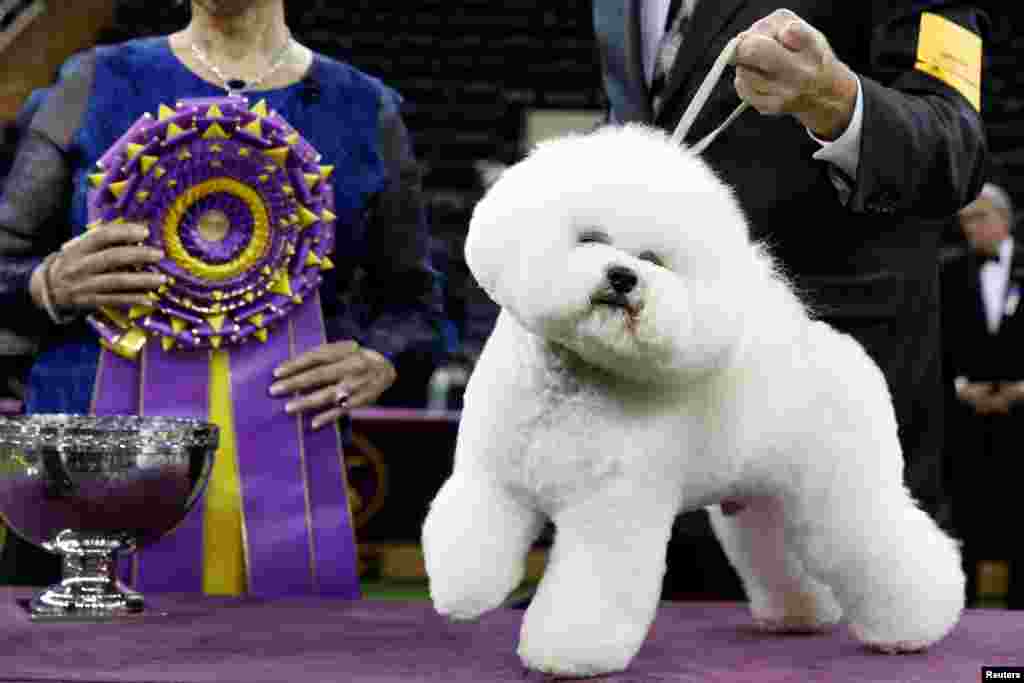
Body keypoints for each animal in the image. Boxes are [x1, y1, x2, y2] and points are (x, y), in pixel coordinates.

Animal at [419, 124, 962, 679]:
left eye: (653, 260)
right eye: (590, 238)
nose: (622, 277)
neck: (572, 380)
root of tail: (842, 351)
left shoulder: (611, 507)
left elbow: (592, 585)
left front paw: (569, 654)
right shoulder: (494, 474)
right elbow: (472, 530)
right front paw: (463, 591)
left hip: (843, 491)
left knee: (887, 547)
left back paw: (916, 628)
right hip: (765, 499)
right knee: (782, 555)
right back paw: (801, 615)